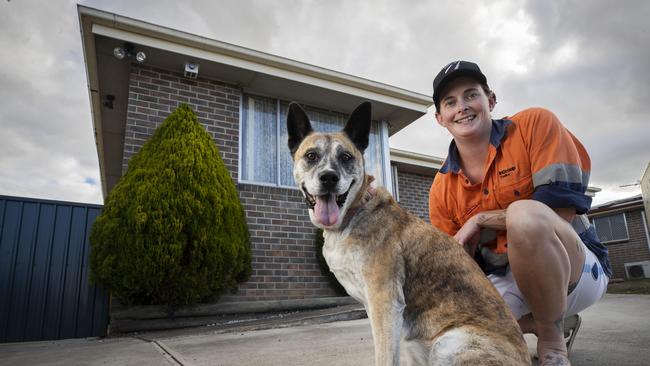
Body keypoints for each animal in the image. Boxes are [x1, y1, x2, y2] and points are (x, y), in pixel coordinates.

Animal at [286, 101, 528, 366]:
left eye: (346, 157)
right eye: (311, 156)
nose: (329, 177)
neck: (354, 212)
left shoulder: (385, 302)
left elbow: (384, 356)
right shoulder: (377, 307)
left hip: (449, 343)